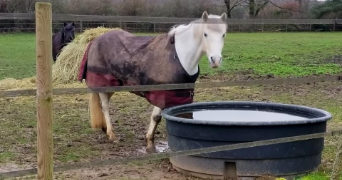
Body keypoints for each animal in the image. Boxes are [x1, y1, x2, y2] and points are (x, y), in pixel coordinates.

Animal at [77, 11, 227, 153]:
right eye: (205, 34)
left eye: (223, 35)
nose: (215, 60)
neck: (179, 55)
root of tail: (95, 40)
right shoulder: (161, 94)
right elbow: (156, 117)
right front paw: (150, 144)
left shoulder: (183, 95)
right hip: (104, 85)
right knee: (105, 107)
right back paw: (112, 135)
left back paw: (104, 129)